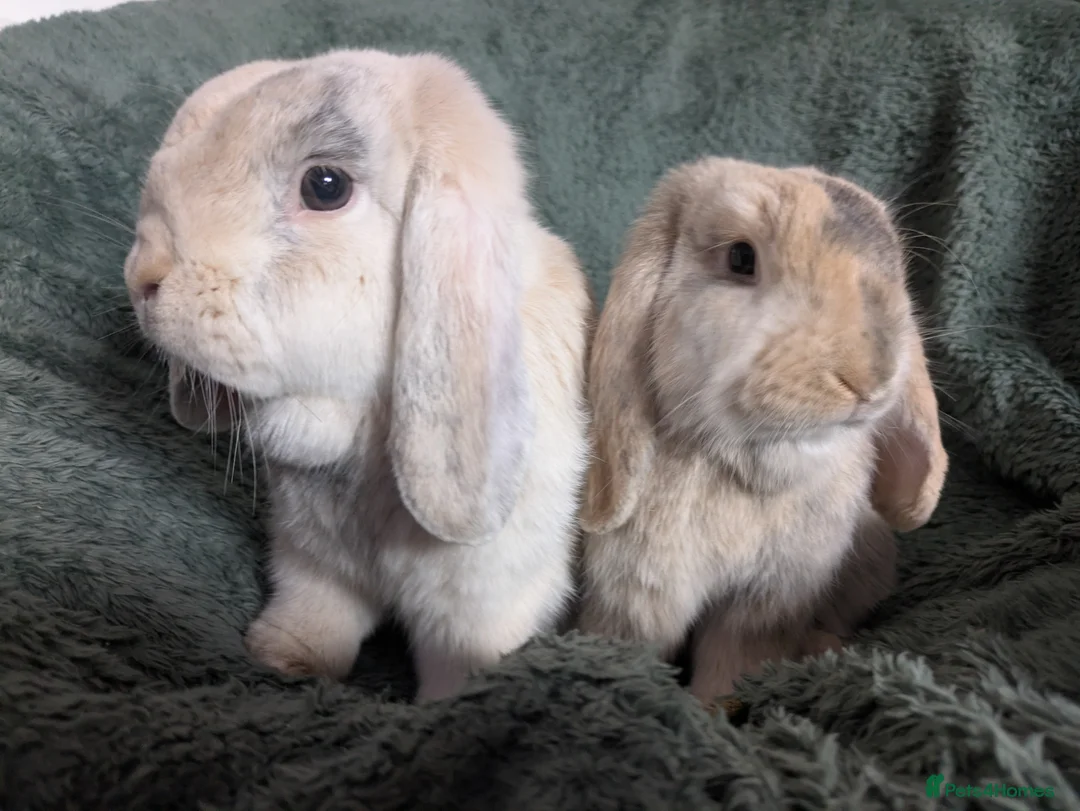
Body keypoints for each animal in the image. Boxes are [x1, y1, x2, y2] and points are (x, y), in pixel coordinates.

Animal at [123, 49, 594, 703]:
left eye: (326, 187)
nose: (143, 276)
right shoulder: (311, 563)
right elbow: (317, 615)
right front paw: (284, 661)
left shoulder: (480, 610)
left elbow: (459, 669)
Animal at [576, 157, 948, 703]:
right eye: (740, 258)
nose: (869, 378)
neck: (751, 470)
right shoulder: (641, 593)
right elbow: (638, 648)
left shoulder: (767, 603)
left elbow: (733, 661)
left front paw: (714, 709)